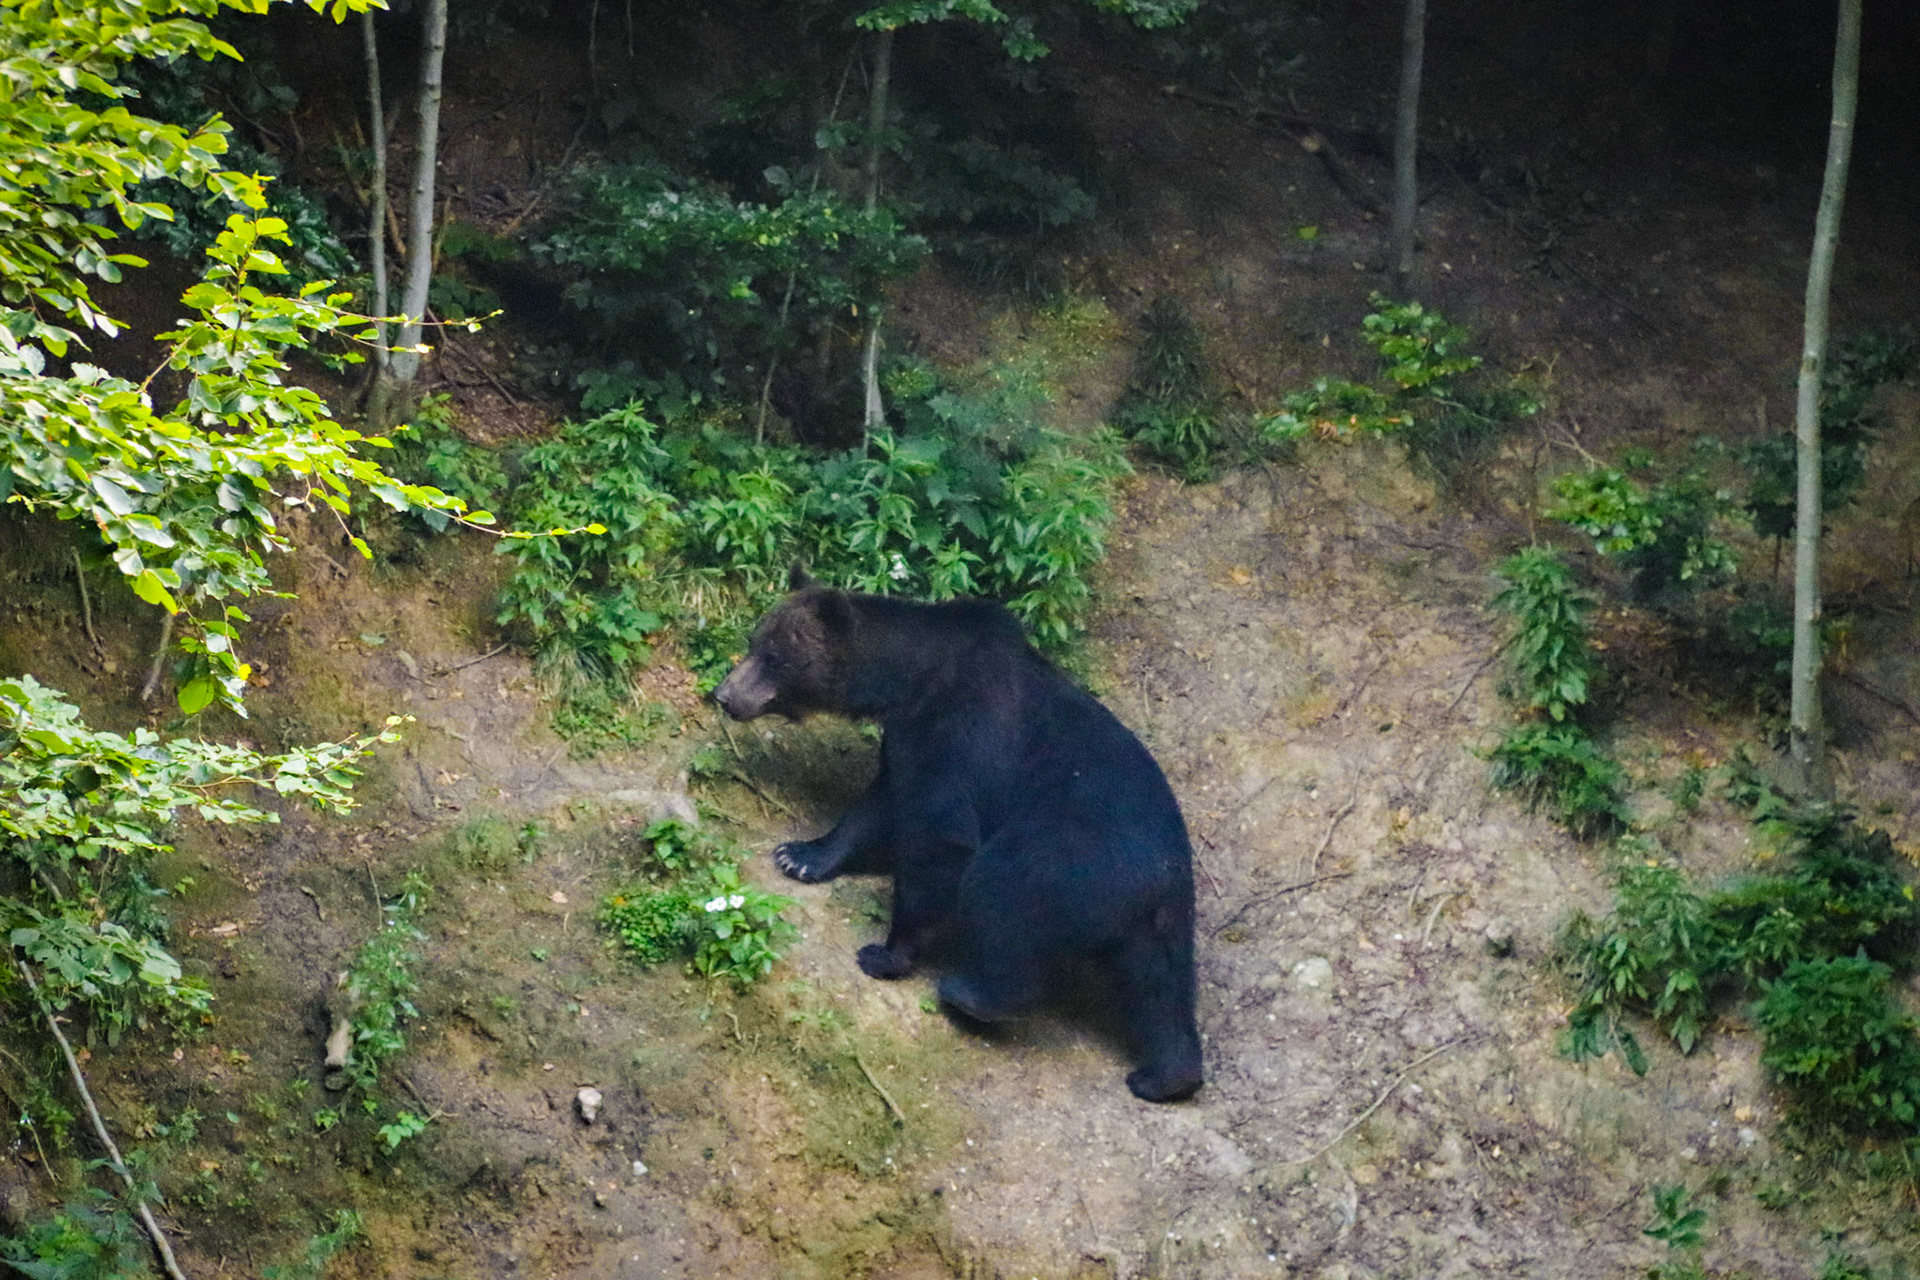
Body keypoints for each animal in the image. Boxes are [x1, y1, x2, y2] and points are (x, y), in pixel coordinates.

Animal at [713, 567, 1203, 1102]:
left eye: (775, 656)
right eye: (754, 640)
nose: (723, 695)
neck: (910, 680)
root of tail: (1154, 880)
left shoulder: (956, 735)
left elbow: (937, 837)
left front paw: (885, 952)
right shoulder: (908, 738)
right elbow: (877, 803)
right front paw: (800, 854)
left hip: (1065, 859)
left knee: (1004, 898)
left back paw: (972, 994)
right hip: (1157, 918)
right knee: (1159, 987)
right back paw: (1164, 1075)